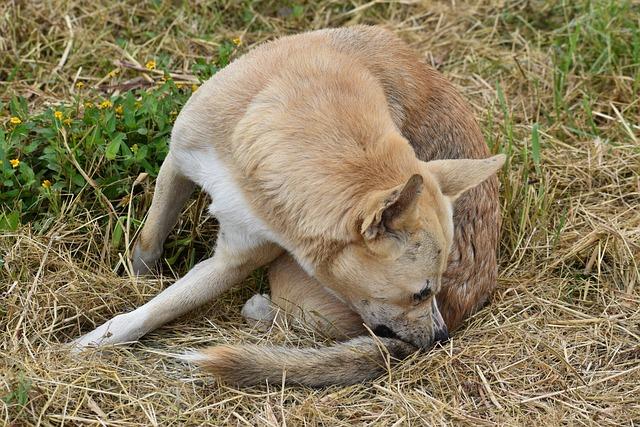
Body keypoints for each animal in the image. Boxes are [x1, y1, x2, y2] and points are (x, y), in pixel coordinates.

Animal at [72, 25, 504, 388]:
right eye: (420, 293)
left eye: (432, 291)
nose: (441, 339)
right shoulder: (178, 163)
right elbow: (149, 242)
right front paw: (133, 281)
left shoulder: (234, 260)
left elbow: (159, 308)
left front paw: (95, 340)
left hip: (288, 279)